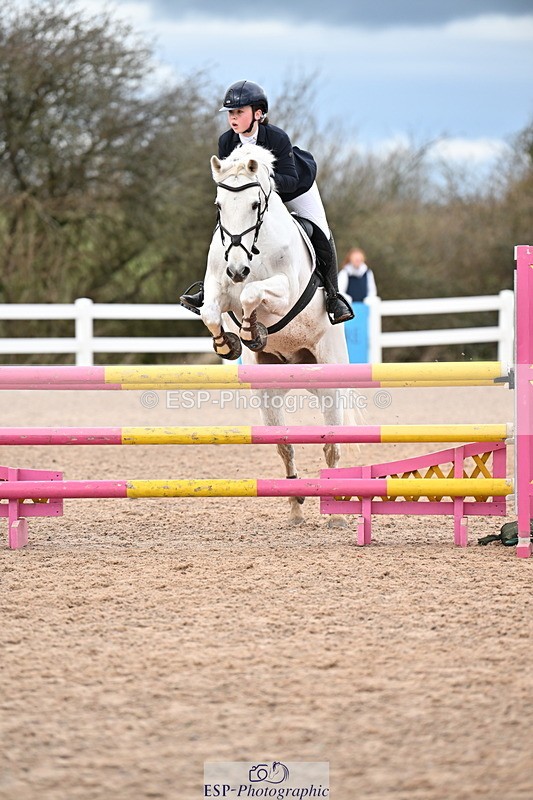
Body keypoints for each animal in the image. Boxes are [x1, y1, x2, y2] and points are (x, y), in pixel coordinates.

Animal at [199, 143, 352, 525]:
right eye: (219, 206)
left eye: (255, 205)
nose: (237, 269)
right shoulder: (219, 288)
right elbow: (211, 311)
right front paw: (228, 342)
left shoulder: (284, 292)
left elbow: (254, 295)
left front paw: (251, 330)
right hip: (269, 389)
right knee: (284, 444)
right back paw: (296, 507)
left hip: (330, 380)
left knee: (333, 444)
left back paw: (337, 514)